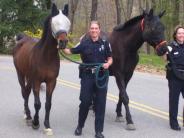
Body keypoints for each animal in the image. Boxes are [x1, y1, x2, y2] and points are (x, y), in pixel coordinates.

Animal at [12, 3, 70, 135]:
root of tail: (22, 39)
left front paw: (47, 125)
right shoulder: (37, 81)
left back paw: (27, 114)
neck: (46, 57)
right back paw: (28, 116)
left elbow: (48, 104)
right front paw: (35, 123)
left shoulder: (51, 82)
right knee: (24, 92)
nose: (63, 42)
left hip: (29, 77)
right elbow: (37, 103)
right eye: (54, 23)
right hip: (20, 74)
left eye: (68, 23)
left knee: (27, 92)